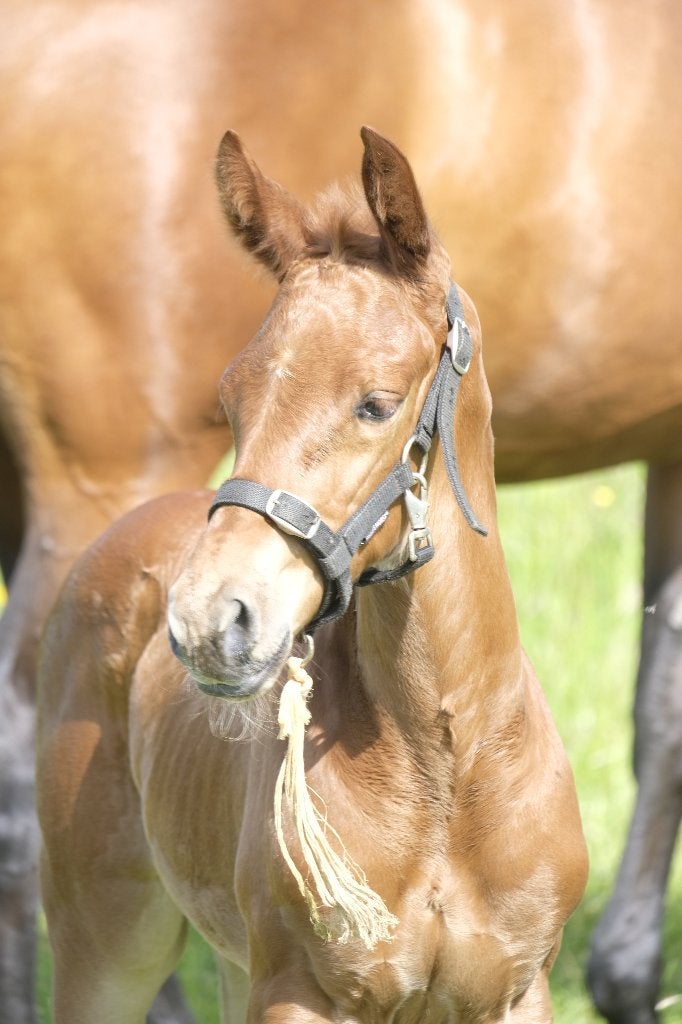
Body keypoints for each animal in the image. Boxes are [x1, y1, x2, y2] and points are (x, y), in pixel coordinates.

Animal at [3, 3, 682, 1021]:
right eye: (233, 397)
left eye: (375, 402)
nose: (210, 619)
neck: (448, 771)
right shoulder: (299, 990)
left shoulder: (515, 990)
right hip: (105, 941)